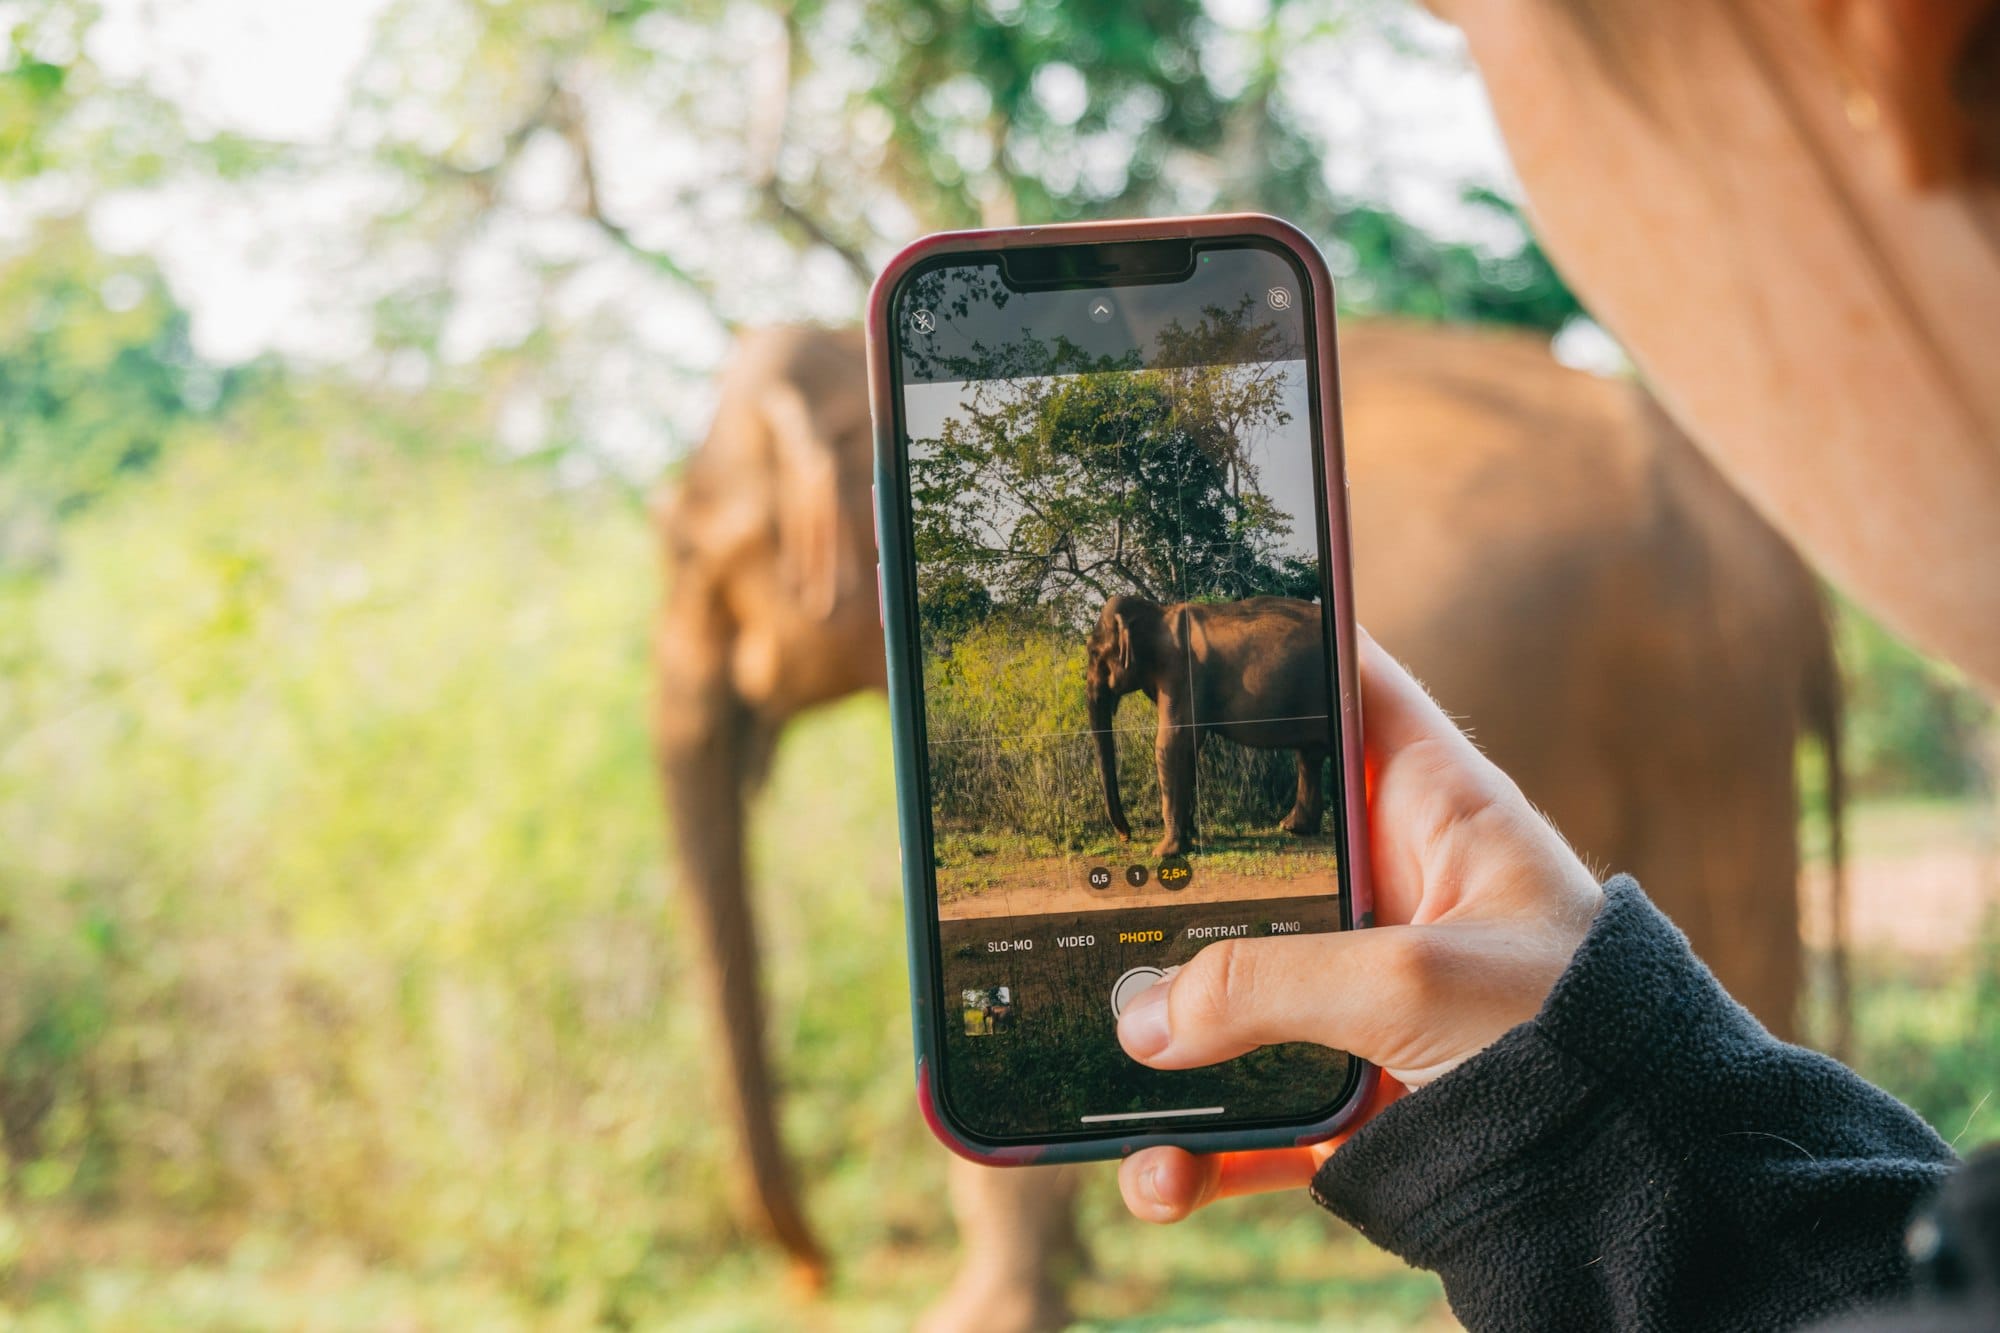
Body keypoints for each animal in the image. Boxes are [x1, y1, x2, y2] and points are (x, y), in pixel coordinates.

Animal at [1088, 592, 1336, 852]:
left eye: (1092, 653)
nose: (1126, 835)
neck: (1159, 614)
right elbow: (1186, 746)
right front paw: (1191, 838)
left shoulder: (1180, 673)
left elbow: (1172, 742)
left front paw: (1165, 852)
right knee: (1309, 755)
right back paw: (1293, 828)